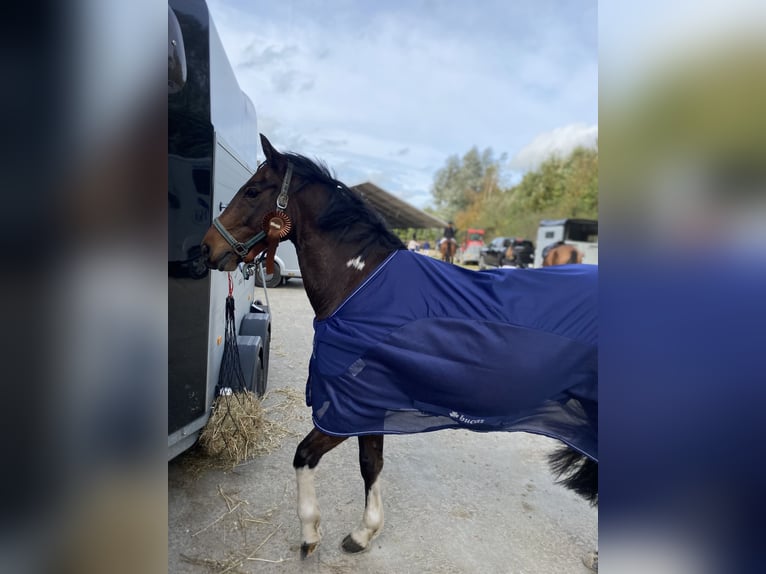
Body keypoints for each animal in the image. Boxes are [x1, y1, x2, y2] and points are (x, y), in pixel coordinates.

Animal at [202, 134, 600, 560]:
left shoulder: (347, 406)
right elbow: (370, 463)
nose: (207, 248)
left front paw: (310, 533)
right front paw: (364, 532)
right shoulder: (367, 403)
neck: (359, 284)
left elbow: (305, 456)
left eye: (253, 190)